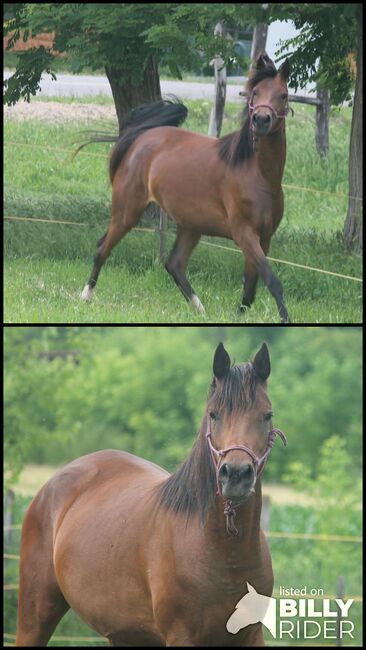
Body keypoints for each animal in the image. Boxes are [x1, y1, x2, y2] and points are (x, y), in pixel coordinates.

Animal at [16, 342, 286, 644]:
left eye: (267, 415)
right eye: (214, 415)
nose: (236, 475)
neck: (224, 553)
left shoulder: (251, 635)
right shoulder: (181, 636)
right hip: (36, 615)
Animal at [81, 54, 294, 322]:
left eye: (283, 95)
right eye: (255, 93)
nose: (261, 120)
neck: (258, 175)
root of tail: (141, 137)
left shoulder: (263, 237)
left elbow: (251, 284)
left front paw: (238, 316)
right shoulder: (245, 234)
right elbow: (271, 280)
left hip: (191, 225)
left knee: (174, 264)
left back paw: (199, 308)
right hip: (127, 212)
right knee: (102, 249)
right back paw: (86, 296)